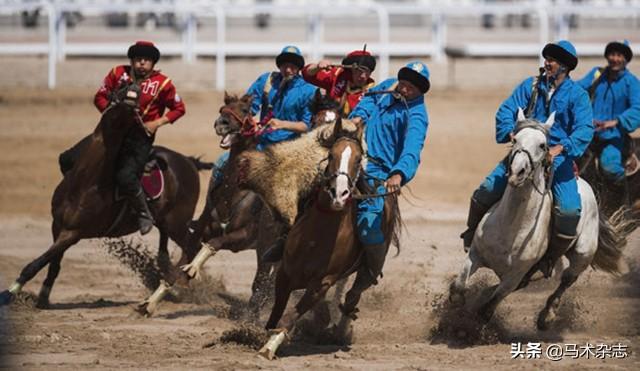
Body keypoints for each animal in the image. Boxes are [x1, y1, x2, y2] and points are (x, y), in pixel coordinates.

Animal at [0, 83, 202, 310]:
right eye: (120, 88)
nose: (133, 92)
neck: (86, 181)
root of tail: (188, 162)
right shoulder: (57, 225)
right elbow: (54, 264)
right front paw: (43, 297)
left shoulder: (73, 233)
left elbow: (37, 262)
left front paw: (9, 293)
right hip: (165, 222)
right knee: (166, 251)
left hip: (178, 223)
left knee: (192, 246)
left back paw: (177, 283)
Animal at [256, 119, 400, 360]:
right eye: (331, 155)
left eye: (359, 159)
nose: (338, 194)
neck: (316, 236)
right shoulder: (285, 272)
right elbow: (277, 312)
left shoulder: (322, 283)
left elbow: (289, 317)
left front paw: (269, 347)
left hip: (366, 271)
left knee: (352, 297)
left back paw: (340, 331)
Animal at [450, 109, 632, 330]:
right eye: (514, 139)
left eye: (543, 145)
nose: (517, 172)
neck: (511, 227)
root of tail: (585, 185)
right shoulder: (475, 255)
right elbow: (459, 288)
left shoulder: (513, 277)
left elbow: (487, 308)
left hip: (583, 254)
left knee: (567, 280)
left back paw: (547, 316)